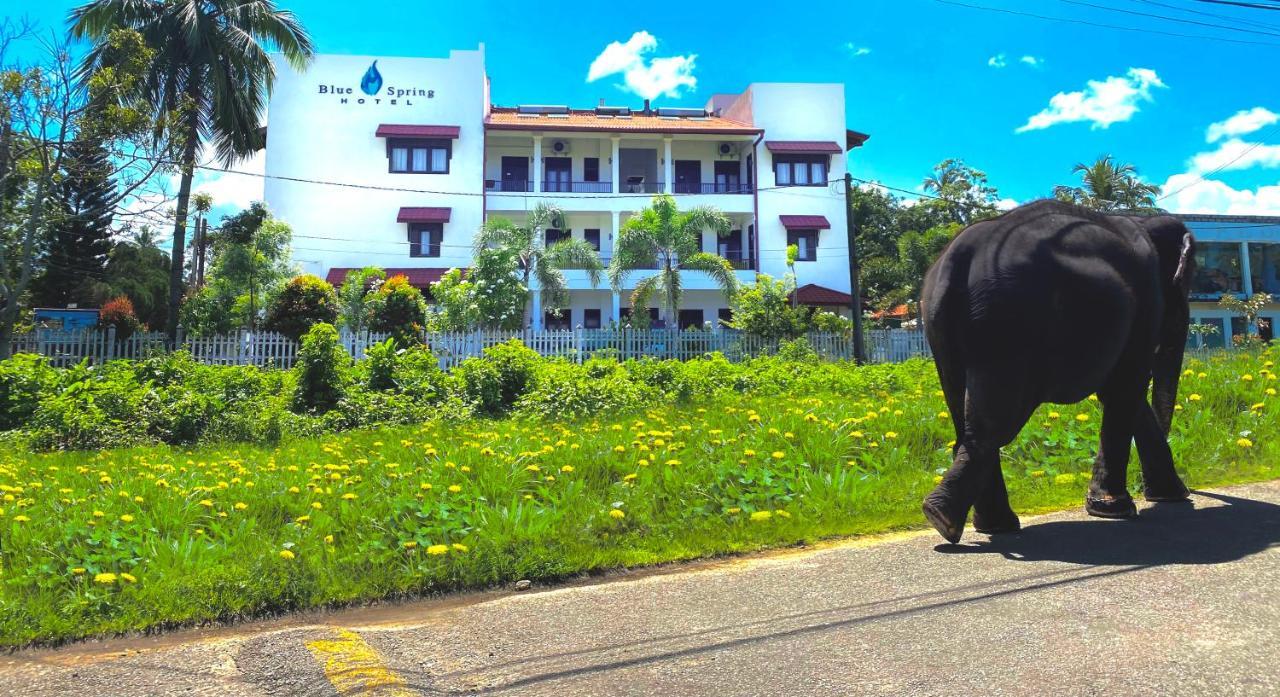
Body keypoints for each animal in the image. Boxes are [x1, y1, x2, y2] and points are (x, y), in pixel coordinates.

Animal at [916, 198, 1192, 539]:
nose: (1148, 490)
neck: (1144, 220)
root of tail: (958, 257)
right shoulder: (1146, 299)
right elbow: (1126, 389)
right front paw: (1118, 509)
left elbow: (1123, 393)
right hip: (1007, 325)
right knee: (994, 425)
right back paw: (948, 519)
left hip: (944, 328)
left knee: (965, 414)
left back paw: (979, 523)